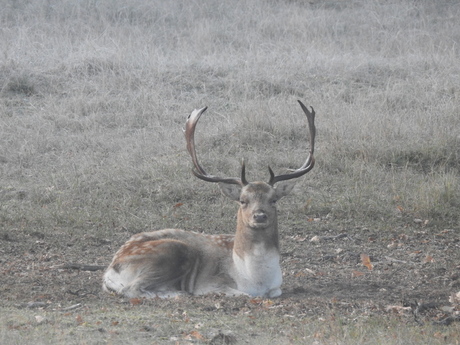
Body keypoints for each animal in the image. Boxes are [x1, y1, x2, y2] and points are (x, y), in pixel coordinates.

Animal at [102, 100, 314, 298]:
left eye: (273, 200)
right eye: (243, 200)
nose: (260, 216)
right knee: (131, 288)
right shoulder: (211, 283)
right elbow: (240, 293)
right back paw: (179, 294)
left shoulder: (277, 287)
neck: (255, 279)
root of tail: (110, 271)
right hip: (172, 250)